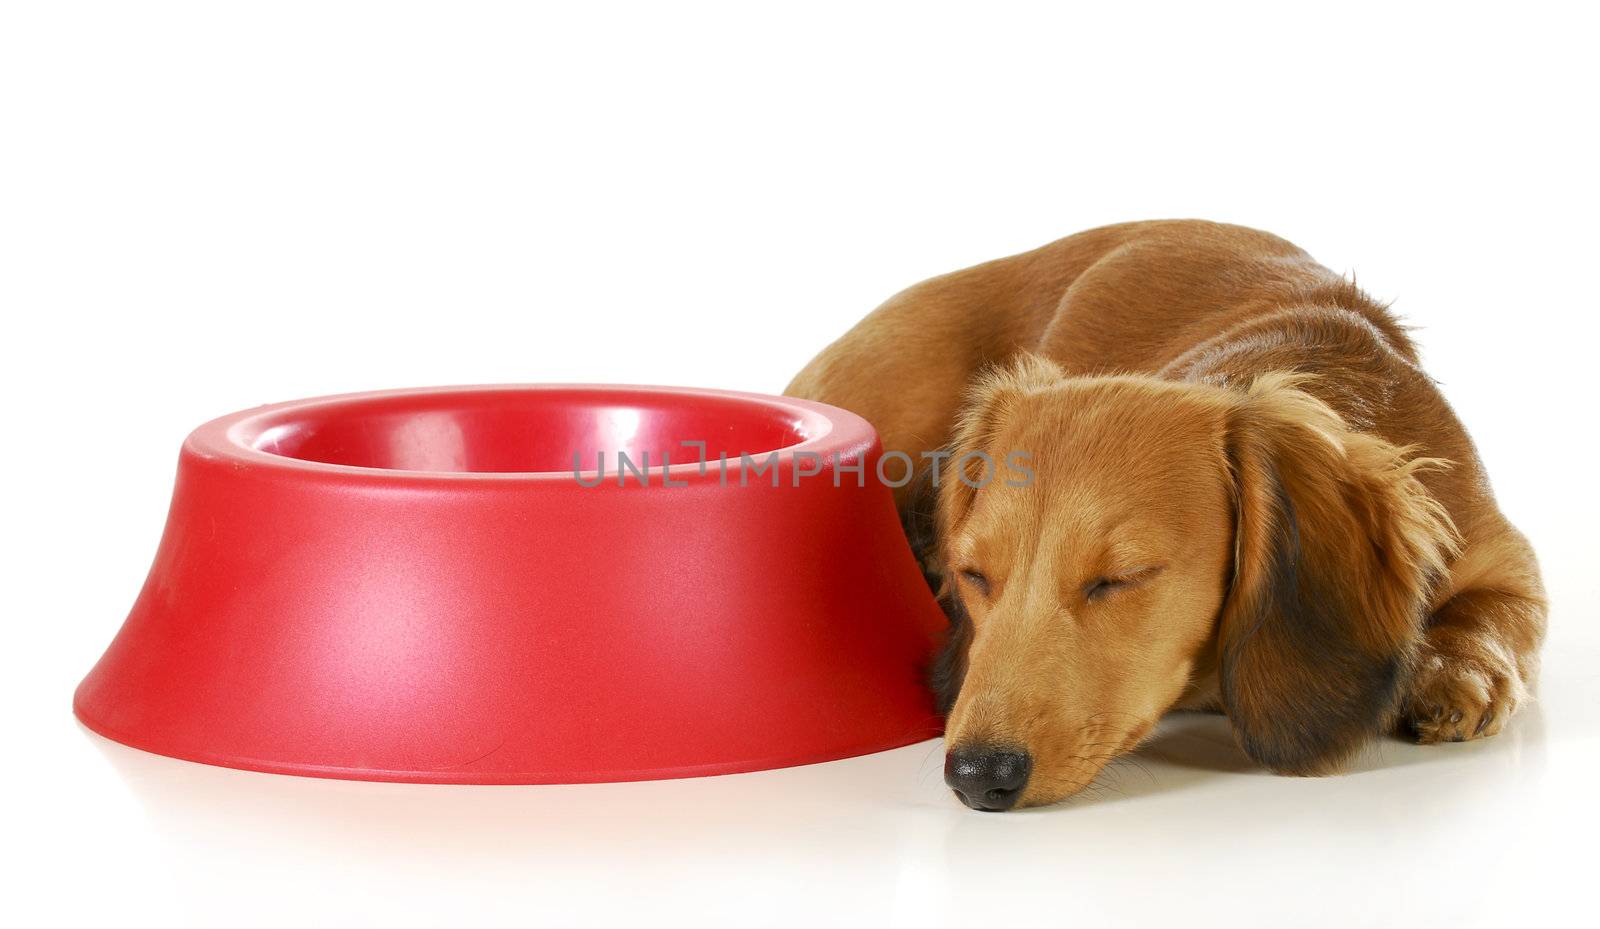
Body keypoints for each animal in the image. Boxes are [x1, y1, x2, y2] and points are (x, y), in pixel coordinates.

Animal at [787, 220, 1548, 809]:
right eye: (973, 575)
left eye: (1120, 579)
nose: (977, 774)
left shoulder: (1509, 560)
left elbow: (1491, 616)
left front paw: (1455, 670)